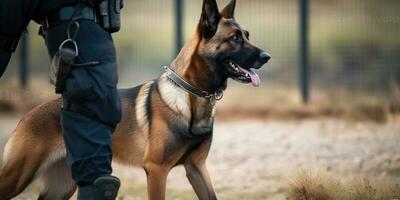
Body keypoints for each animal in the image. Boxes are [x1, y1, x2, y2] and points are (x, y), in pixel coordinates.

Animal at [0, 0, 270, 199]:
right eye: (235, 38)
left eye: (246, 35)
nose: (267, 56)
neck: (191, 96)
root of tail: (28, 114)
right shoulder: (157, 170)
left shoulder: (197, 168)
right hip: (18, 176)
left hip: (63, 184)